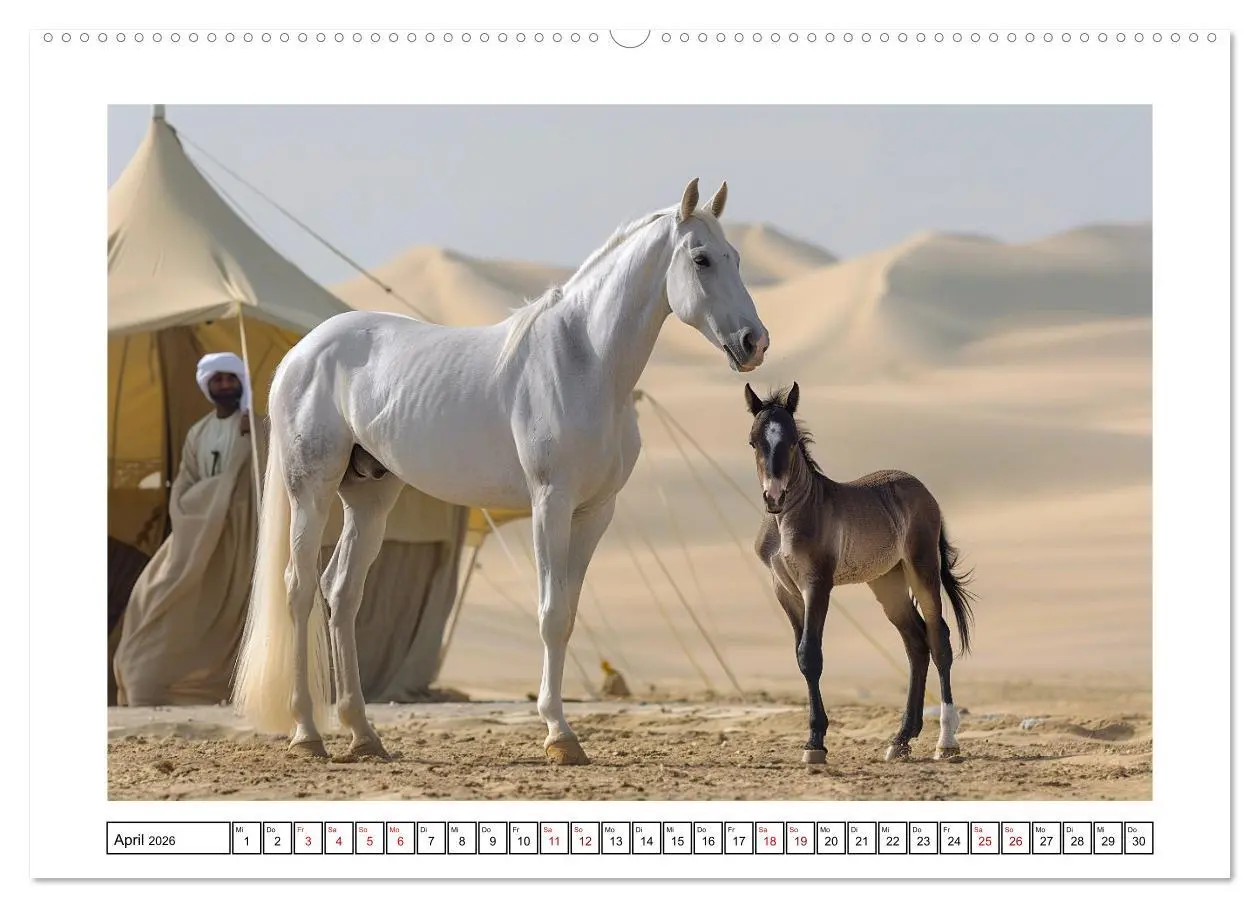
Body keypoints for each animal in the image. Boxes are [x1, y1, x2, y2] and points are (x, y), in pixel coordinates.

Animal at [230, 178, 770, 766]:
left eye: (736, 257)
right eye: (701, 259)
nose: (754, 343)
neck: (585, 364)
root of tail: (301, 352)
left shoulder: (595, 513)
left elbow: (568, 615)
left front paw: (562, 730)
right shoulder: (550, 504)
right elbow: (551, 614)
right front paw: (559, 735)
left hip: (369, 497)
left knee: (342, 592)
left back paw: (363, 734)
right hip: (312, 490)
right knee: (300, 589)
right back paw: (308, 733)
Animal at [742, 382, 977, 764]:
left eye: (791, 441)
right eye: (753, 441)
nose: (773, 497)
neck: (786, 520)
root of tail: (922, 489)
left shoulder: (817, 584)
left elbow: (811, 655)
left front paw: (815, 744)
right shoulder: (784, 589)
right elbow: (799, 655)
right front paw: (815, 739)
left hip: (922, 567)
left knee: (938, 638)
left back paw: (946, 741)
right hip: (887, 581)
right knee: (916, 643)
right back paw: (901, 739)